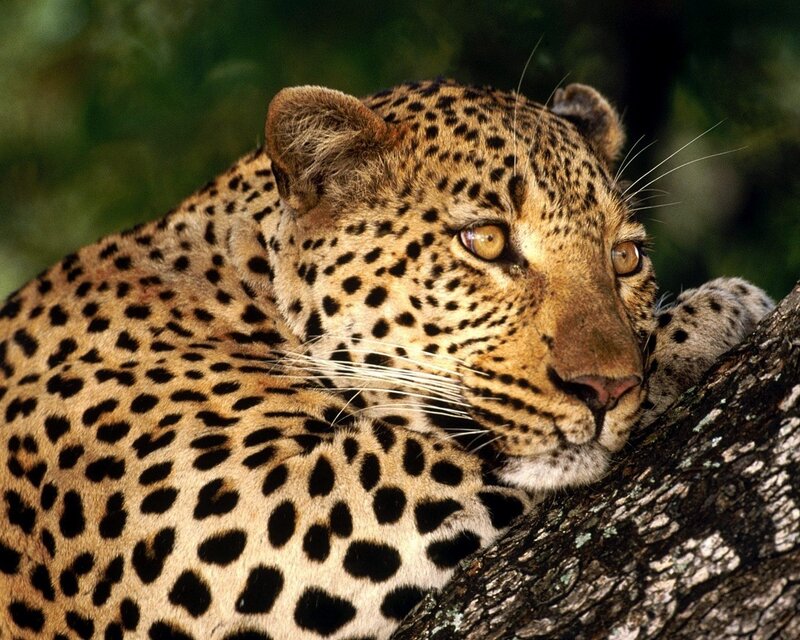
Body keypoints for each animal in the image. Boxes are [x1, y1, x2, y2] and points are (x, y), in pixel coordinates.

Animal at [0, 78, 774, 640]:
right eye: (485, 241)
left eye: (626, 257)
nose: (608, 389)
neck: (238, 283)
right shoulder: (243, 519)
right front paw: (715, 312)